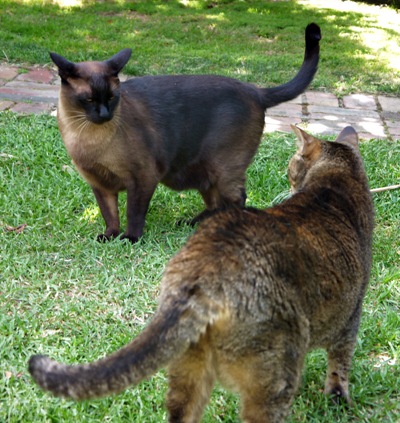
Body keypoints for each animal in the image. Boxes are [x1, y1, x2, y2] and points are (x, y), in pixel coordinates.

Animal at [29, 125, 374, 422]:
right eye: (292, 167)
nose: (288, 182)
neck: (336, 179)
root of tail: (204, 271)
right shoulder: (352, 314)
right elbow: (340, 365)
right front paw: (338, 399)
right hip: (275, 370)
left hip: (188, 366)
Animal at [49, 23, 321, 243]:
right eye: (89, 100)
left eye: (112, 97)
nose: (104, 114)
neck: (86, 136)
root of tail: (255, 91)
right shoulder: (100, 184)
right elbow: (110, 215)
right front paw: (110, 237)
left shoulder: (143, 178)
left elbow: (133, 213)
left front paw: (131, 239)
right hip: (206, 173)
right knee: (216, 202)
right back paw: (194, 222)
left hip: (222, 169)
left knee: (237, 199)